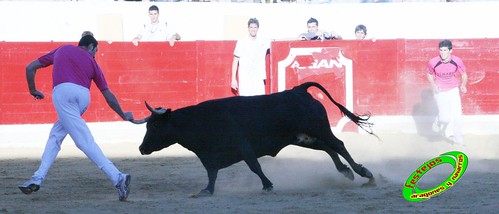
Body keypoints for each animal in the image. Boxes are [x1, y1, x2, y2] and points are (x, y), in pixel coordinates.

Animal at [131, 82, 376, 197]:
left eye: (155, 126)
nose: (142, 148)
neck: (200, 121)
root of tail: (299, 90)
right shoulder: (209, 156)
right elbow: (211, 174)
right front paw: (207, 190)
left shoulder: (244, 147)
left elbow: (254, 167)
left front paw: (268, 185)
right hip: (304, 138)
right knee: (329, 148)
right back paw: (346, 172)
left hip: (319, 129)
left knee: (338, 145)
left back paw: (365, 173)